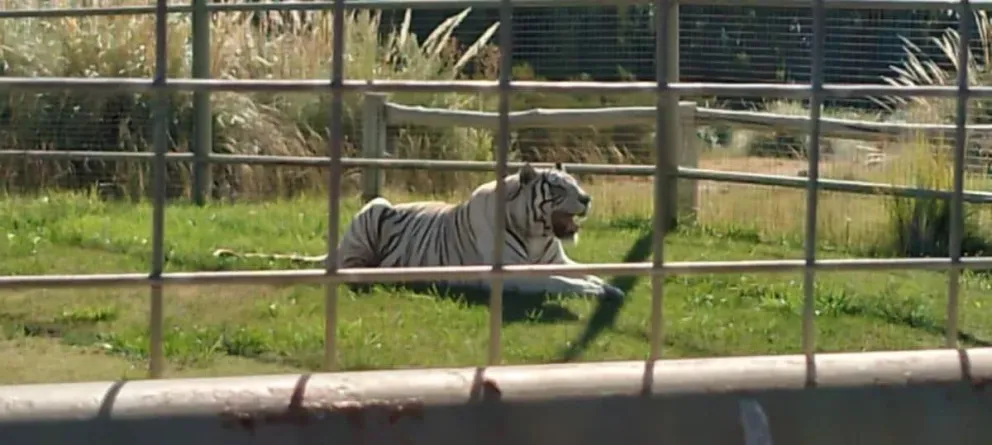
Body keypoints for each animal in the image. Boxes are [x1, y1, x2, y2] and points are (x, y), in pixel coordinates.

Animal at [213, 162, 625, 300]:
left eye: (577, 183)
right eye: (557, 187)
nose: (587, 198)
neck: (537, 232)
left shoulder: (559, 259)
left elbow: (581, 272)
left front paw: (609, 285)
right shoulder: (514, 276)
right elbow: (562, 283)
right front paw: (597, 291)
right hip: (374, 209)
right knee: (353, 268)